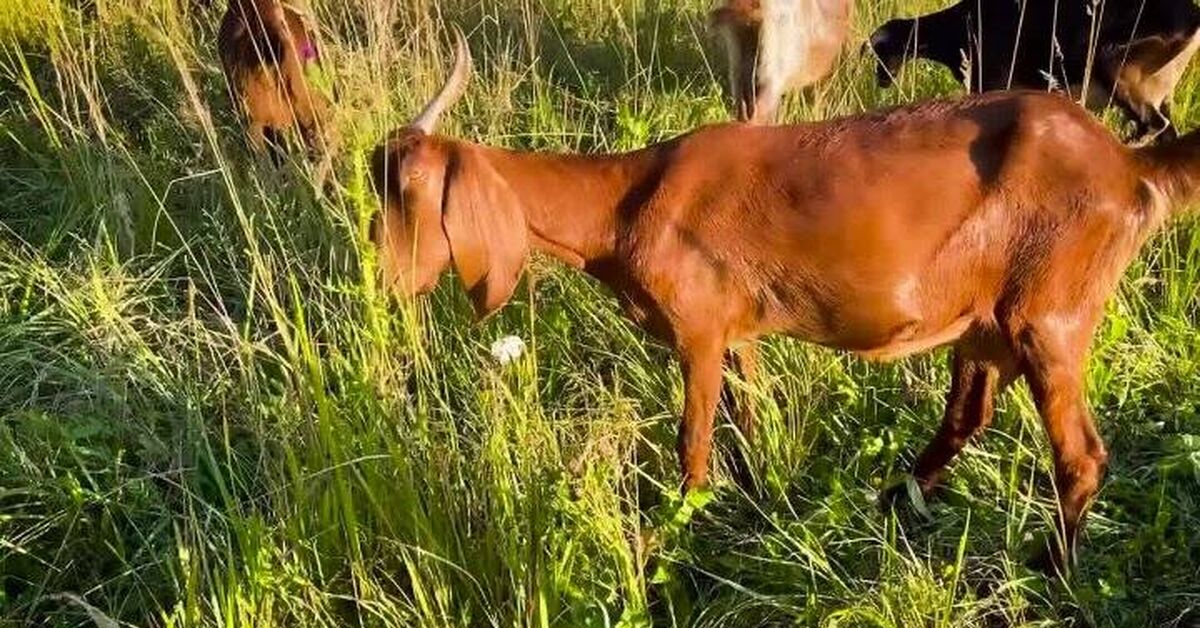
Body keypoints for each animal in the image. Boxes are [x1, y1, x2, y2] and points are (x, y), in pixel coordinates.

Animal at [372, 33, 1200, 571]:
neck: (622, 204)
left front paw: (677, 535)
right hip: (985, 321)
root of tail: (1127, 167)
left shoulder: (699, 332)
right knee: (970, 413)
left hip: (1050, 315)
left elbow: (693, 442)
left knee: (1081, 456)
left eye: (411, 192)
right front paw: (759, 504)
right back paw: (891, 501)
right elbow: (748, 426)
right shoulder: (740, 335)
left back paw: (1049, 566)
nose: (386, 283)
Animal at [869, 0, 1200, 143]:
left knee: (1152, 125)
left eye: (878, 54)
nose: (881, 82)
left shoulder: (991, 82)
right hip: (1160, 91)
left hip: (1115, 68)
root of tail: (1191, 17)